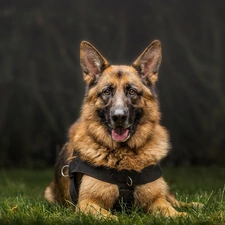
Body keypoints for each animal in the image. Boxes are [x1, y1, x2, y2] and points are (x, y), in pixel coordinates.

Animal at [44, 39, 200, 219]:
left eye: (132, 91)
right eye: (106, 92)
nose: (119, 117)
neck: (124, 157)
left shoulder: (157, 201)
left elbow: (172, 211)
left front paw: (185, 214)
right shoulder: (87, 203)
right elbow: (112, 217)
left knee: (172, 199)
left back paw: (194, 205)